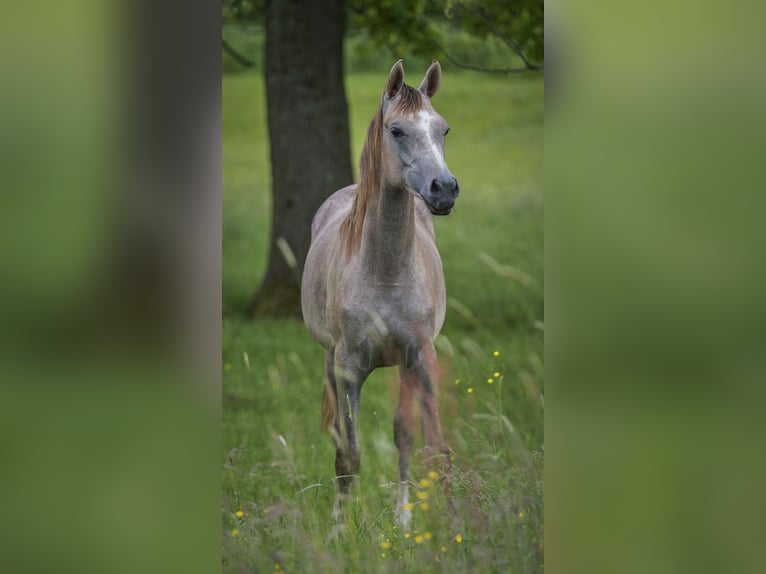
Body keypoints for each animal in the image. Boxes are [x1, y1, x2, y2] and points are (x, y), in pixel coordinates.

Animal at [302, 59, 462, 528]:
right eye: (396, 130)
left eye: (443, 129)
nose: (444, 188)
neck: (385, 274)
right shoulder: (348, 368)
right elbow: (348, 456)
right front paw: (339, 531)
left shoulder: (421, 358)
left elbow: (434, 447)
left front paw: (455, 529)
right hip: (329, 360)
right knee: (340, 438)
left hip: (403, 366)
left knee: (403, 435)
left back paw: (404, 518)